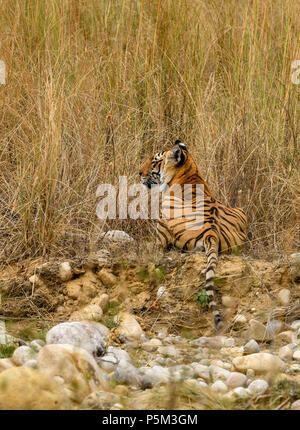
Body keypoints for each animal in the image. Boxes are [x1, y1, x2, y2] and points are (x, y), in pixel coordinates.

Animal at [139, 141, 247, 330]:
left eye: (154, 162)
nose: (139, 173)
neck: (190, 171)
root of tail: (212, 232)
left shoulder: (159, 239)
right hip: (242, 211)